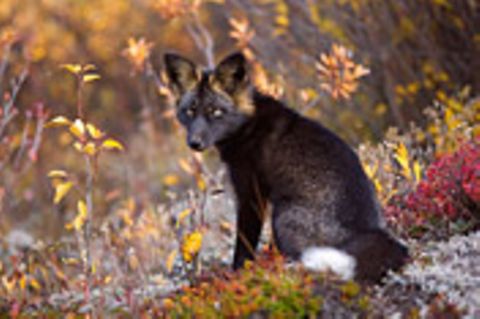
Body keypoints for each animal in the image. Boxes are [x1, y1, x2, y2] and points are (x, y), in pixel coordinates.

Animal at [165, 52, 408, 282]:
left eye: (215, 111)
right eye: (190, 111)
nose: (194, 143)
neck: (248, 125)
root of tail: (368, 231)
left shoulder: (251, 196)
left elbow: (244, 247)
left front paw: (237, 274)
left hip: (281, 217)